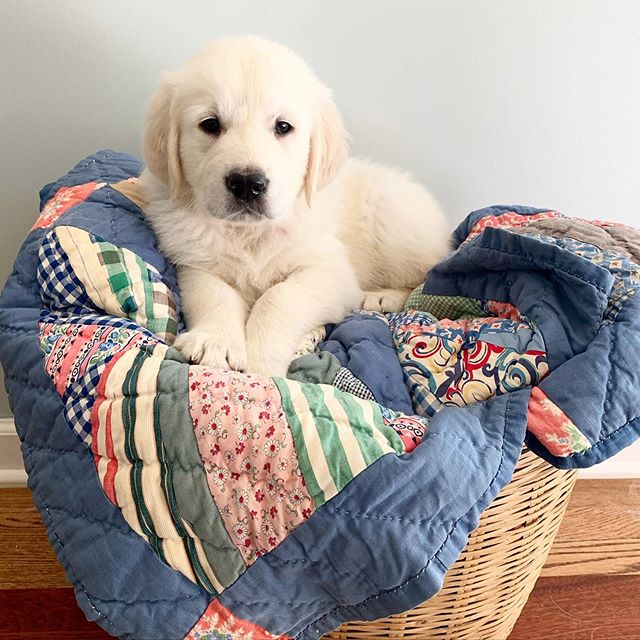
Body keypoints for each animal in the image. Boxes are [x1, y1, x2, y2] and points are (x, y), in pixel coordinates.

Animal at [142, 36, 448, 376]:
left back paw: (382, 296)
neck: (248, 234)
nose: (247, 183)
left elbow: (279, 298)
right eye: (210, 124)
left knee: (422, 279)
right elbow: (213, 293)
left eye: (283, 127)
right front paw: (216, 341)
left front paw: (261, 361)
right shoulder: (194, 262)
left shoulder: (329, 271)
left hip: (392, 214)